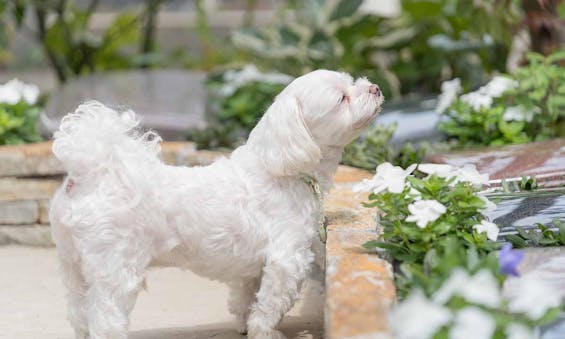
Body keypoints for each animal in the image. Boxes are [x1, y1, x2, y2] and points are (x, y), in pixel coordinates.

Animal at [49, 69, 384, 339]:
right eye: (342, 98)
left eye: (353, 81)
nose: (375, 87)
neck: (283, 169)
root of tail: (90, 172)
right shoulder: (286, 260)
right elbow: (271, 304)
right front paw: (266, 332)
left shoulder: (252, 267)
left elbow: (245, 298)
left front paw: (245, 324)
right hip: (115, 266)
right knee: (105, 316)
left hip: (72, 263)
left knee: (79, 310)